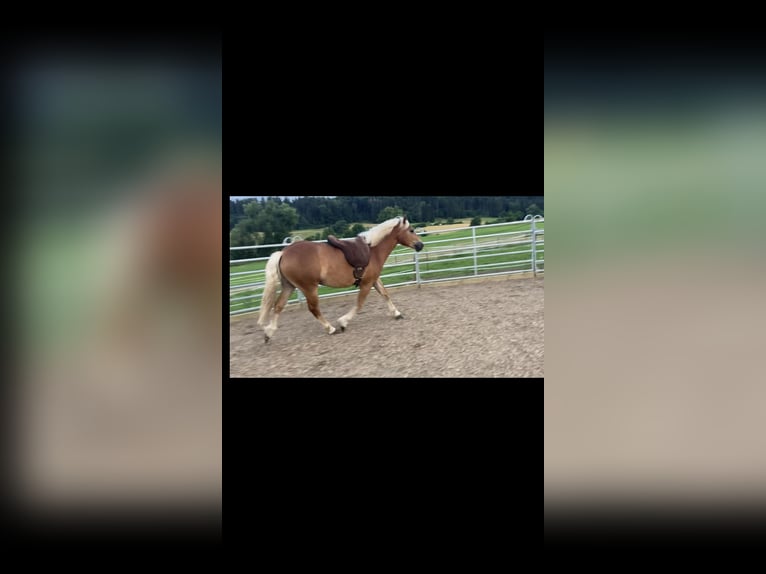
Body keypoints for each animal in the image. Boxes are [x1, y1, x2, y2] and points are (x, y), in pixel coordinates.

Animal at [258, 216, 426, 342]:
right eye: (411, 230)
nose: (420, 245)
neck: (373, 250)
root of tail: (284, 253)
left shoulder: (373, 280)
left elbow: (385, 294)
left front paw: (396, 313)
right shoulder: (366, 283)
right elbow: (359, 304)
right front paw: (343, 322)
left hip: (289, 286)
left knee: (278, 306)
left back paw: (268, 332)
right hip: (309, 288)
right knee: (313, 308)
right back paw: (330, 328)